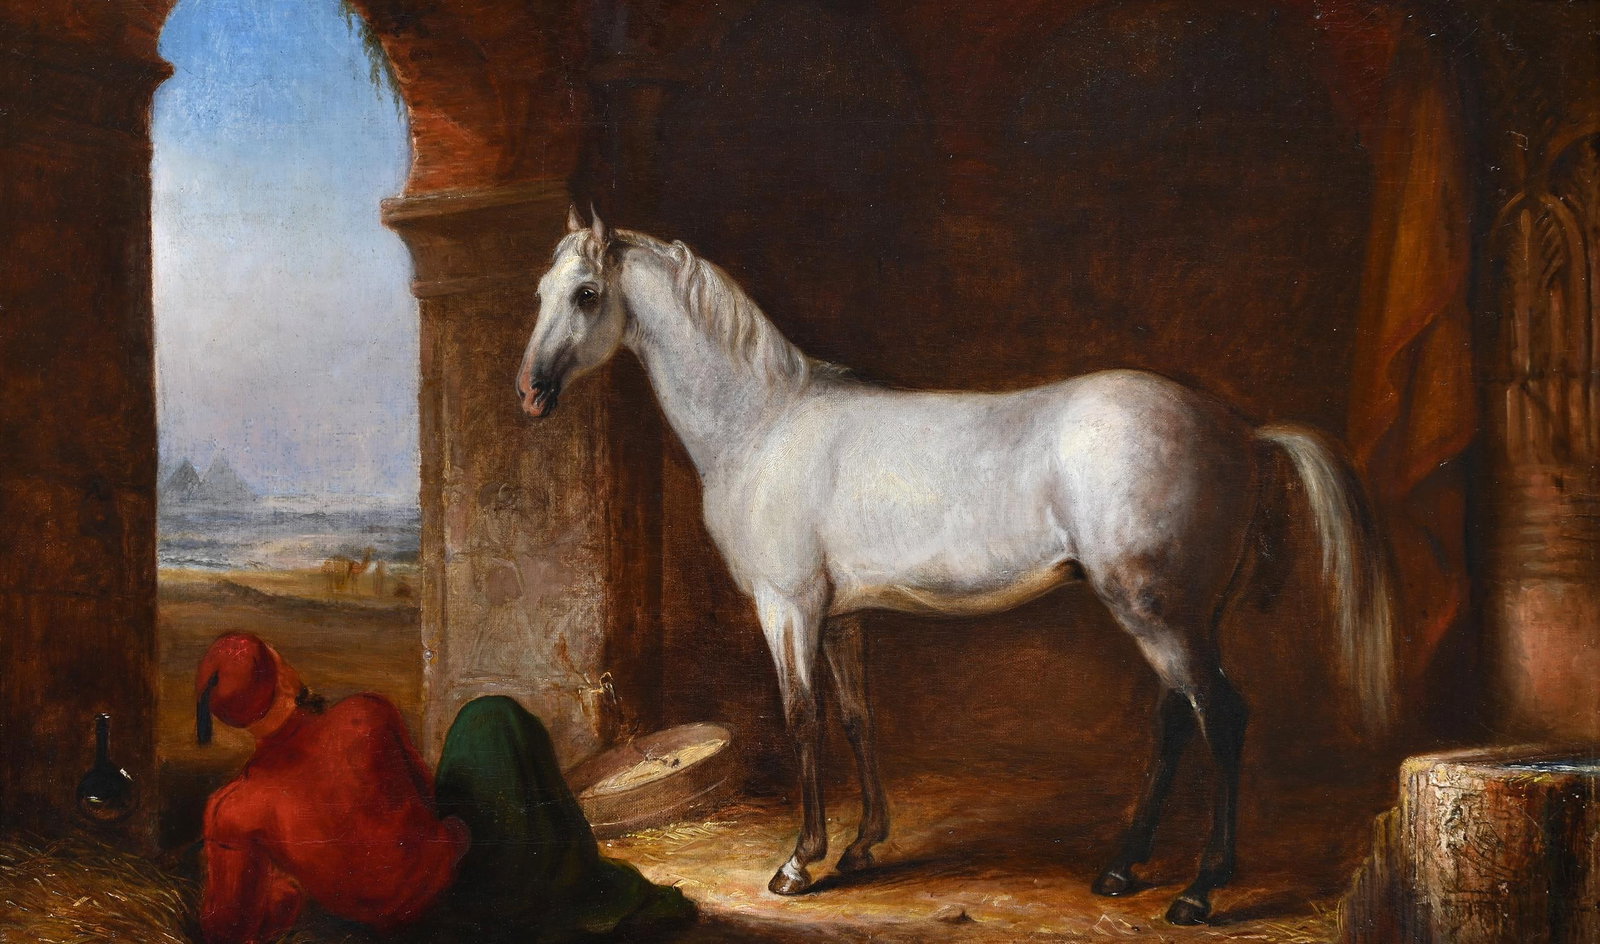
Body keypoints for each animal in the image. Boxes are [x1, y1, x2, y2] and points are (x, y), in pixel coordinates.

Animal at [515, 210, 1393, 925]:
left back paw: (1200, 891)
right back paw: (1121, 869)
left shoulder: (788, 606)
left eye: (587, 294)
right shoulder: (842, 615)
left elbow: (802, 718)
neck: (764, 424)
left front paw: (800, 863)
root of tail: (1241, 430)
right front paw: (863, 846)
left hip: (1158, 611)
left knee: (1223, 718)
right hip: (1179, 616)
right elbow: (858, 717)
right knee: (1179, 718)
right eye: (542, 290)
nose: (529, 393)